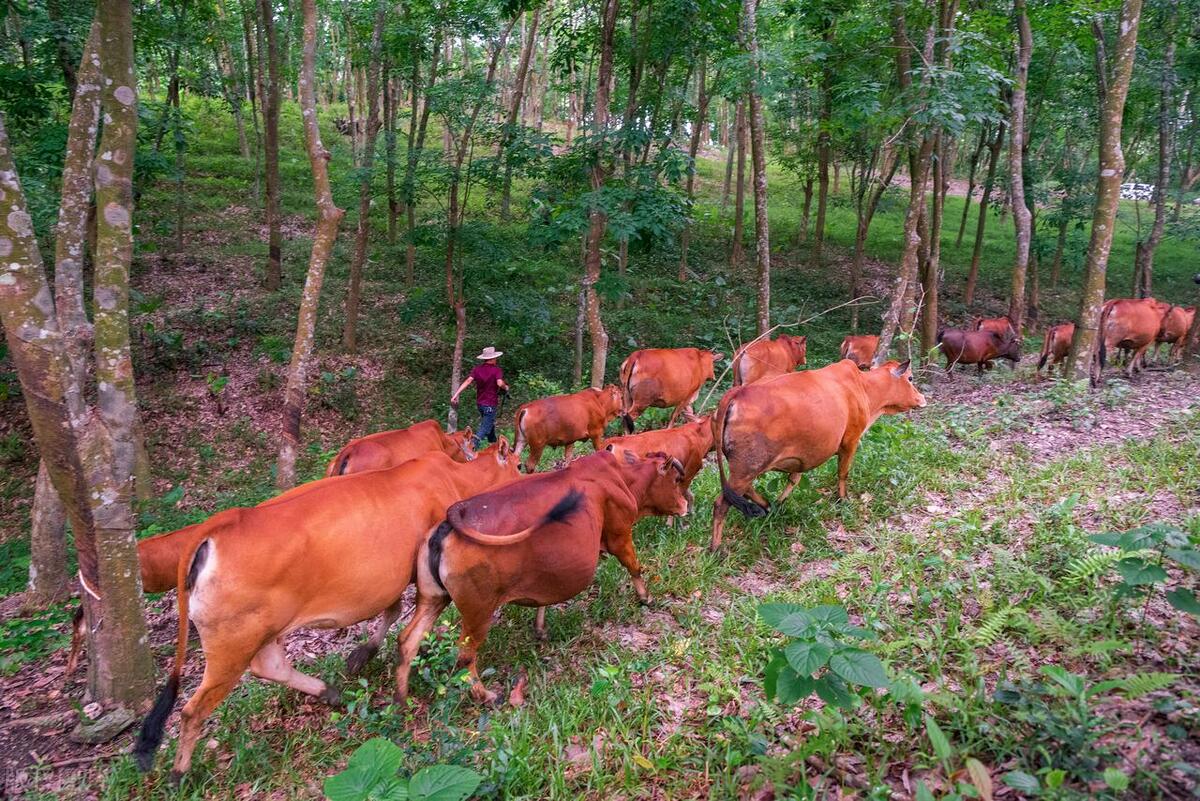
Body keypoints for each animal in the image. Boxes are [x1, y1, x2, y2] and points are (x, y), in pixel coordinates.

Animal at [136, 441, 520, 777]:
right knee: (193, 710)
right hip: (232, 645)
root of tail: (217, 526)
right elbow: (394, 613)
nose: (527, 471)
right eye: (517, 464)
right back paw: (179, 773)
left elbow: (392, 612)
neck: (456, 479)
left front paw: (361, 653)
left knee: (269, 667)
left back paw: (329, 693)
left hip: (265, 630)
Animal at [393, 453, 691, 705]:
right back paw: (484, 694)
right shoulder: (619, 535)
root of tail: (448, 522)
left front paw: (540, 628)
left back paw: (402, 700)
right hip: (479, 611)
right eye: (676, 480)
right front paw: (646, 597)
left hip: (433, 598)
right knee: (465, 655)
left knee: (408, 640)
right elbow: (635, 567)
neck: (621, 477)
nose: (686, 504)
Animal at [710, 362, 926, 551]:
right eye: (910, 378)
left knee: (742, 491)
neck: (864, 387)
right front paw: (843, 500)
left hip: (746, 467)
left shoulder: (801, 457)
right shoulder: (851, 441)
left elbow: (794, 479)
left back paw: (765, 506)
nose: (922, 398)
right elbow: (843, 473)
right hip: (747, 467)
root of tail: (737, 392)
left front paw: (780, 503)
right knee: (722, 504)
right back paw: (716, 549)